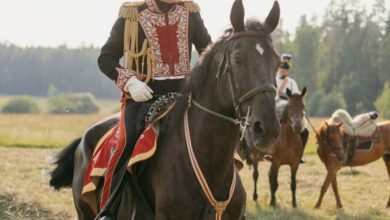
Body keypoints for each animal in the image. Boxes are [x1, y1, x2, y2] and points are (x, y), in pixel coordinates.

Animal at [50, 0, 282, 219]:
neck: (212, 166)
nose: (267, 129)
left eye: (277, 61)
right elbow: (106, 56)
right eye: (238, 59)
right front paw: (138, 88)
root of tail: (83, 139)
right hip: (84, 213)